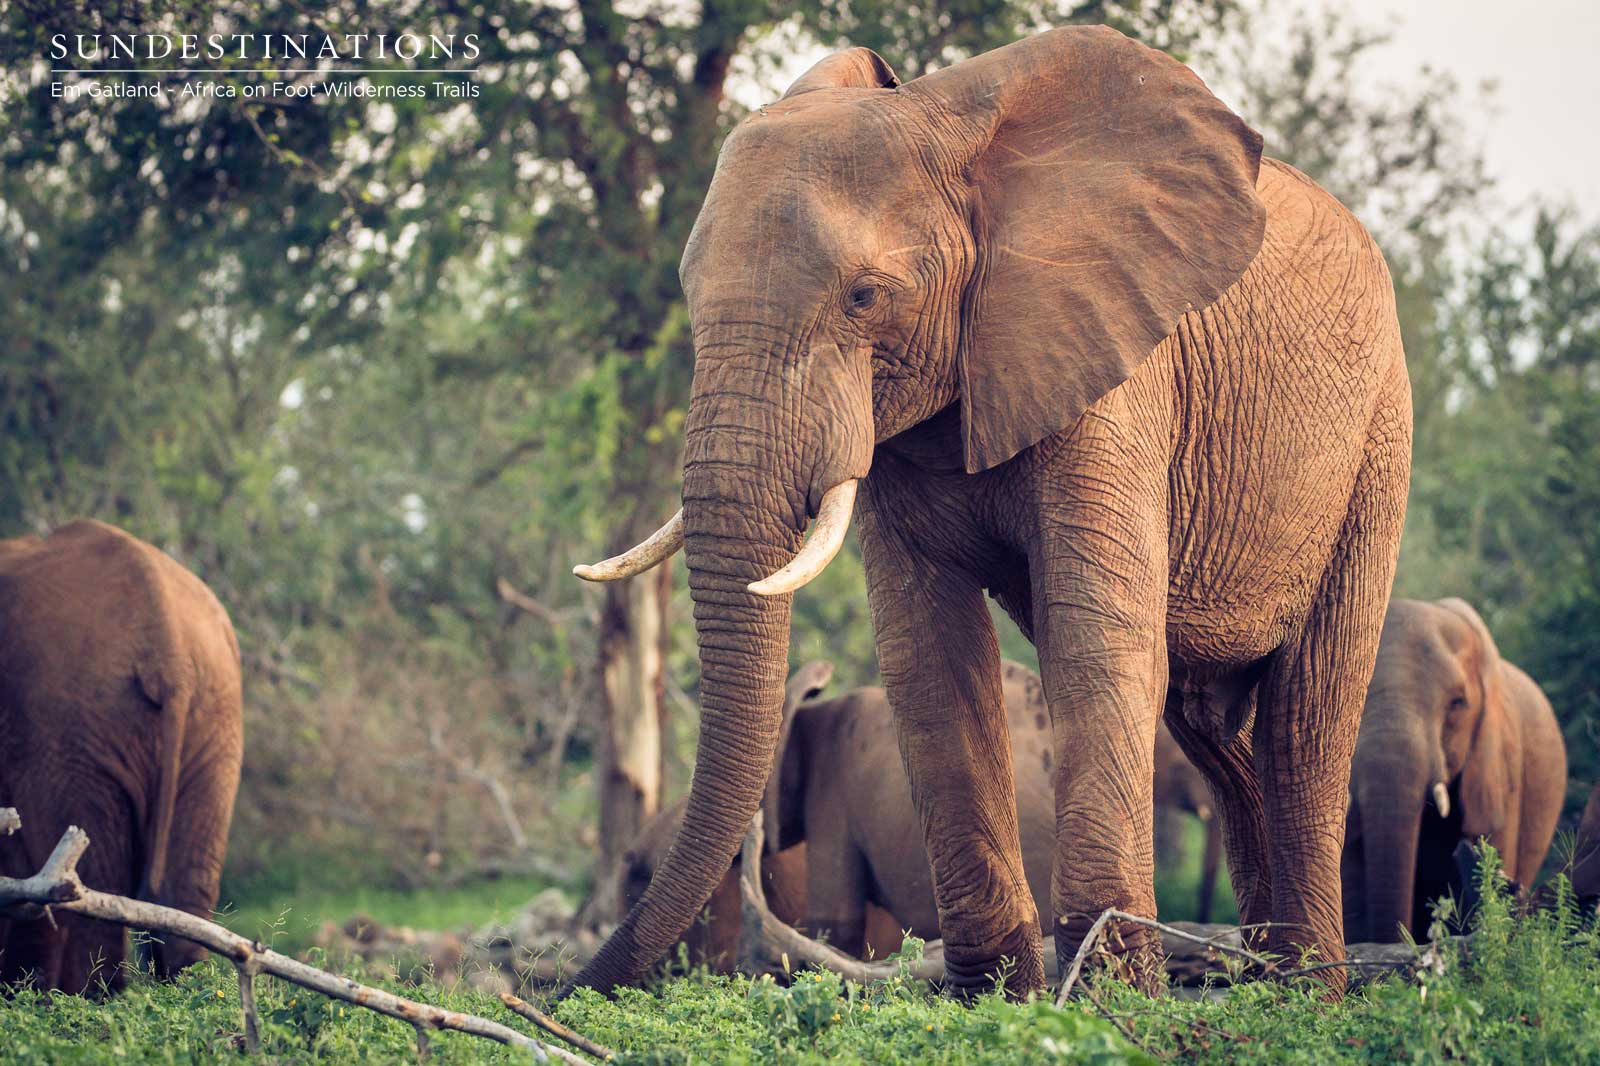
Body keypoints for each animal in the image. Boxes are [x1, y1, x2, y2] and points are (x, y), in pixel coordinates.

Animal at [571, 24, 1411, 999]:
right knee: (1214, 733)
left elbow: (1092, 636)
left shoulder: (1116, 362)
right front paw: (997, 995)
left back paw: (1307, 988)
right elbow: (926, 650)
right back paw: (1267, 974)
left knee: (1305, 717)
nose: (557, 986)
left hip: (1376, 442)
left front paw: (1104, 995)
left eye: (864, 297)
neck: (948, 128)